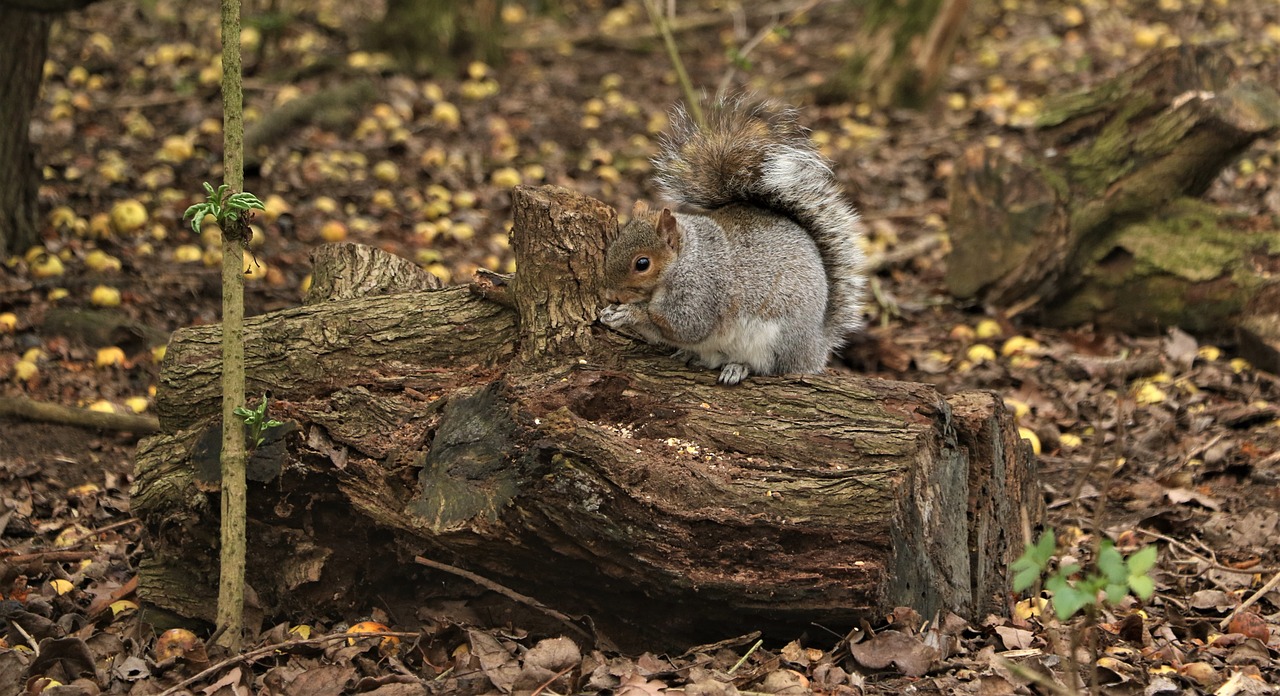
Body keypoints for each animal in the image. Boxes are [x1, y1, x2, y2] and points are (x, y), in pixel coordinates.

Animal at [601, 96, 870, 386]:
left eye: (642, 264)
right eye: (613, 246)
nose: (611, 295)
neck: (685, 259)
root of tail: (816, 347)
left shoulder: (701, 292)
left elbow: (683, 326)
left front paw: (630, 313)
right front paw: (610, 313)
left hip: (775, 340)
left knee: (769, 367)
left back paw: (738, 367)